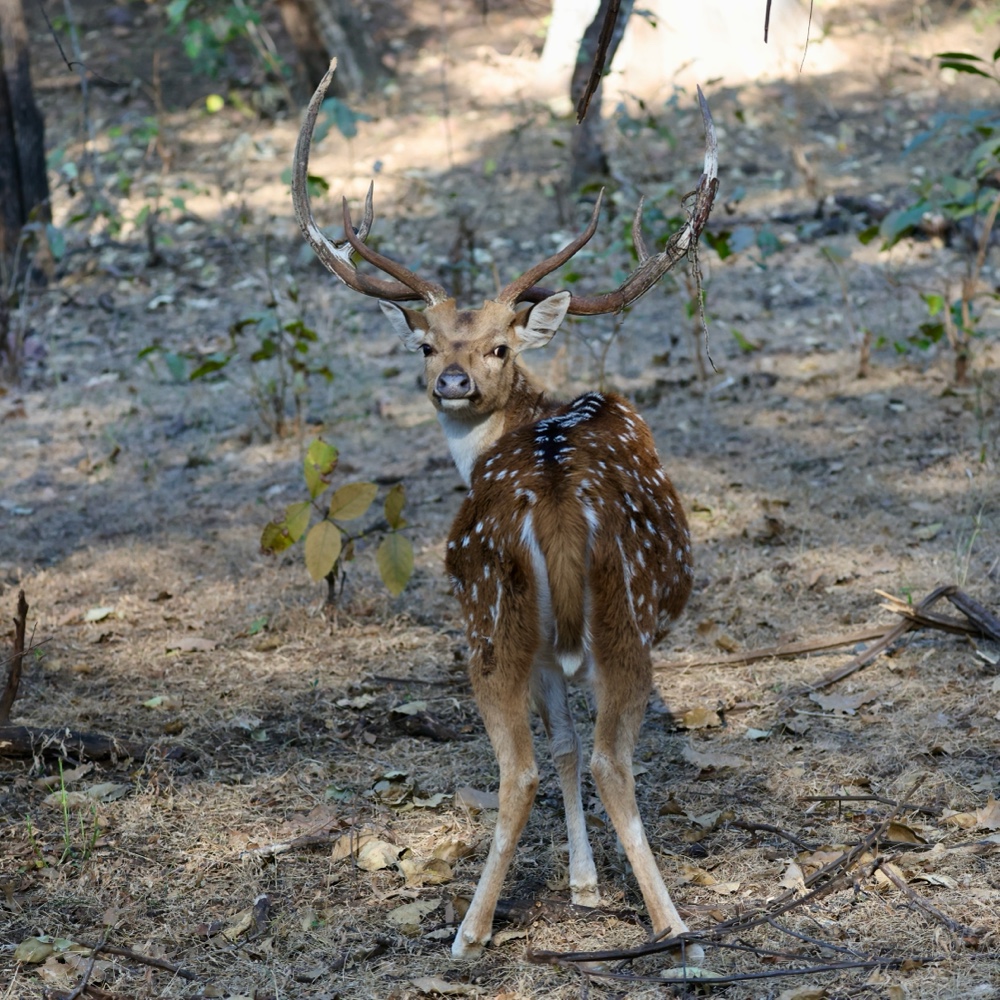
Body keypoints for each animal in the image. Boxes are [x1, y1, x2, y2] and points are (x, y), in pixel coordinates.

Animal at [292, 60, 718, 962]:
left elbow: (558, 748)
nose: (452, 381)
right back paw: (667, 929)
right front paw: (588, 887)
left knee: (532, 764)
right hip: (593, 619)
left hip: (495, 618)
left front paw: (585, 886)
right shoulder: (561, 647)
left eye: (499, 345)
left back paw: (478, 931)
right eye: (426, 344)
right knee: (594, 758)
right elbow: (566, 747)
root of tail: (551, 504)